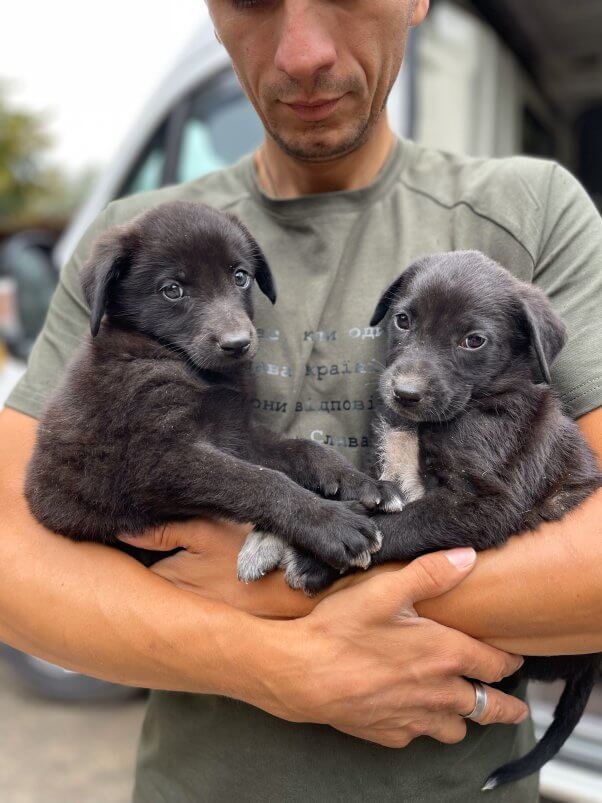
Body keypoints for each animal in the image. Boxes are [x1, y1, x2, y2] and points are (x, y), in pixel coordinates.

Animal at [24, 204, 398, 576]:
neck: (183, 362)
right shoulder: (161, 458)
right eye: (172, 290)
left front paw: (362, 482)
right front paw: (333, 524)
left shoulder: (236, 434)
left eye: (240, 277)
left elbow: (302, 449)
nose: (238, 343)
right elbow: (258, 480)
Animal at [278, 251, 600, 792]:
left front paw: (318, 557)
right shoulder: (389, 470)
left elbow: (401, 525)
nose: (404, 393)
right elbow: (379, 501)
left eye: (474, 341)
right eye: (404, 320)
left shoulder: (482, 502)